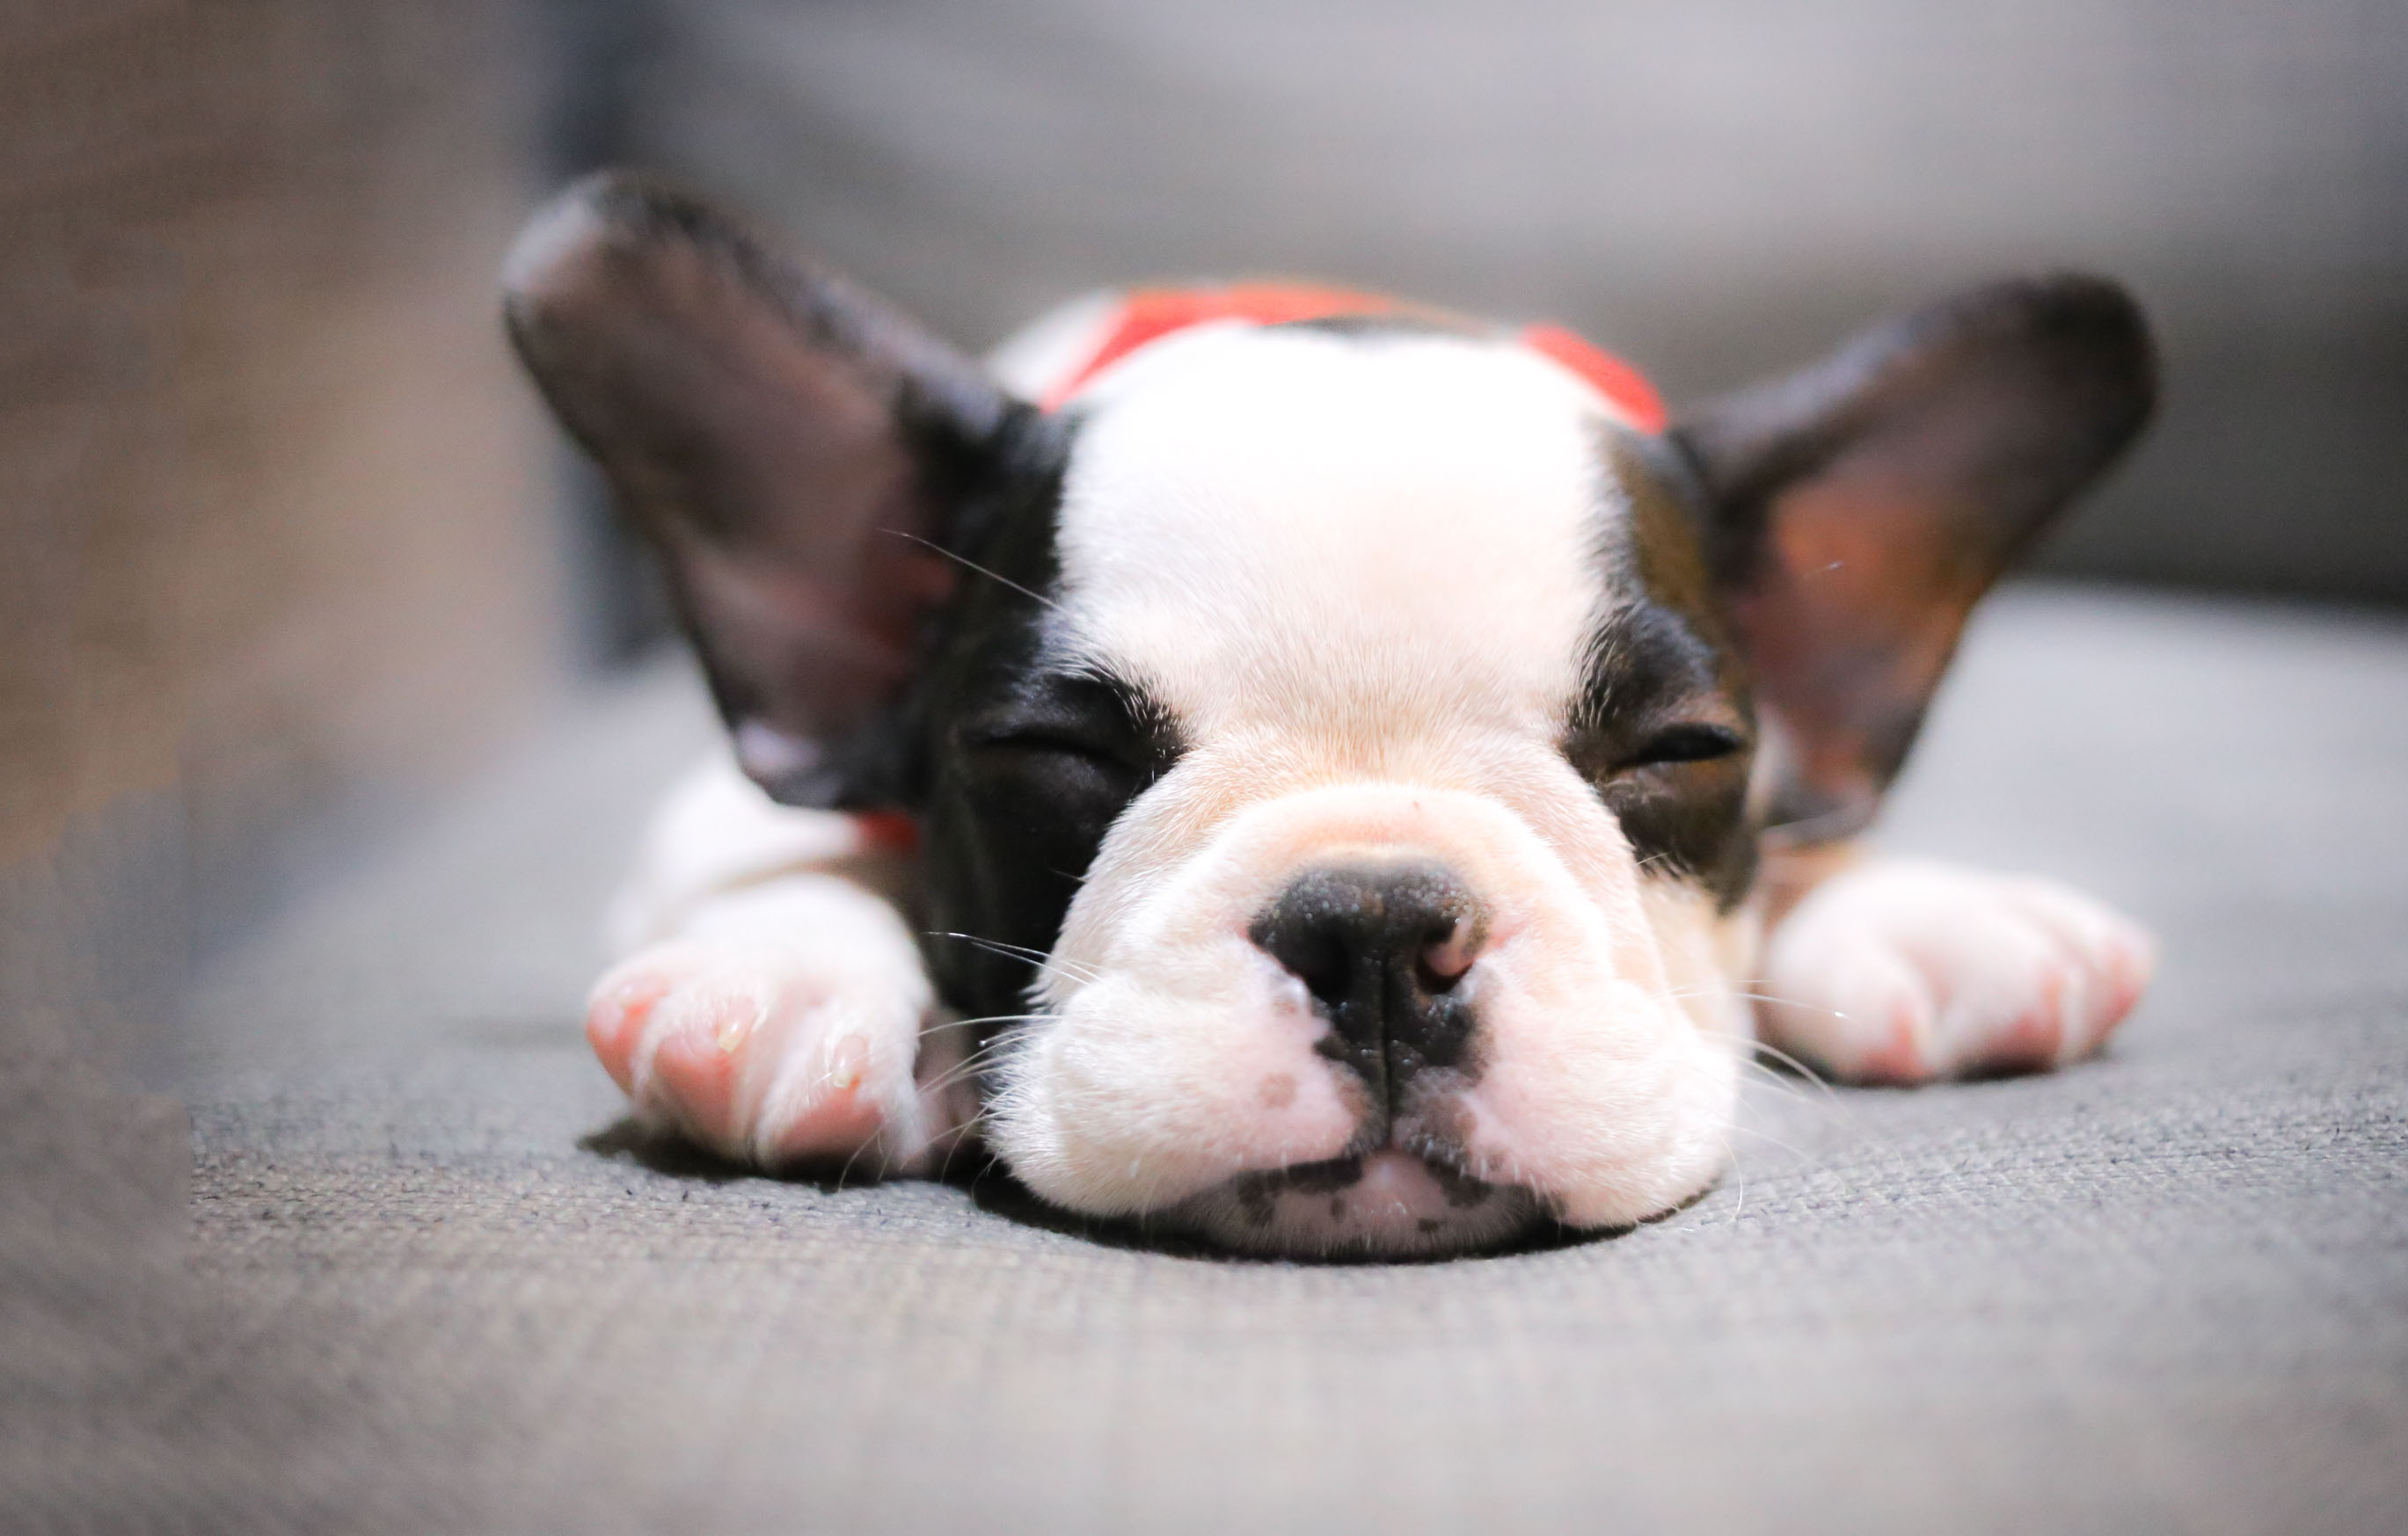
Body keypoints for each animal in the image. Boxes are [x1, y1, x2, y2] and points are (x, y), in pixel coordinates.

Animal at [507, 174, 2167, 1261]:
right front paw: (785, 971)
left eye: (1679, 752)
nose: (1374, 926)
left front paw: (1925, 910)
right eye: (1052, 755)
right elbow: (781, 853)